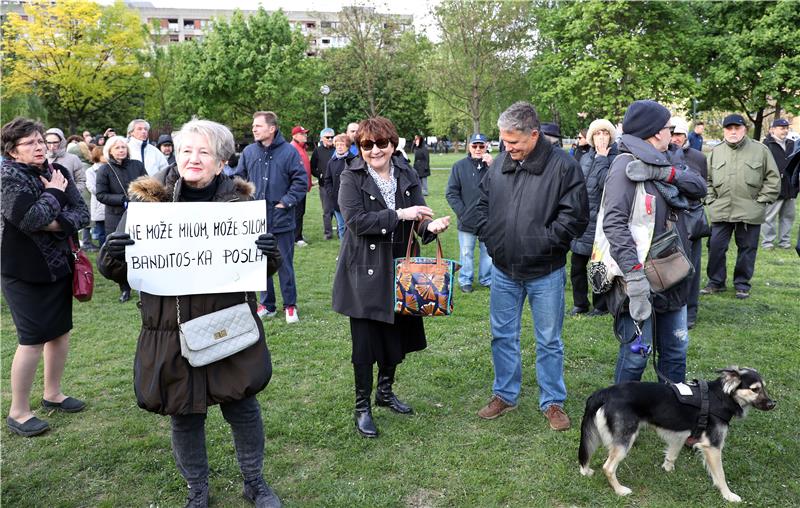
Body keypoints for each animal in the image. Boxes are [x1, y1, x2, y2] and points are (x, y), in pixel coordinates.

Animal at [580, 368, 776, 502]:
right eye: (755, 389)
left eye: (764, 388)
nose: (773, 404)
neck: (720, 397)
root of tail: (605, 392)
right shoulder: (712, 446)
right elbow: (720, 475)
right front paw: (728, 495)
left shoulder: (680, 435)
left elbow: (672, 454)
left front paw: (668, 469)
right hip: (624, 440)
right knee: (608, 467)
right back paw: (620, 490)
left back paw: (587, 470)